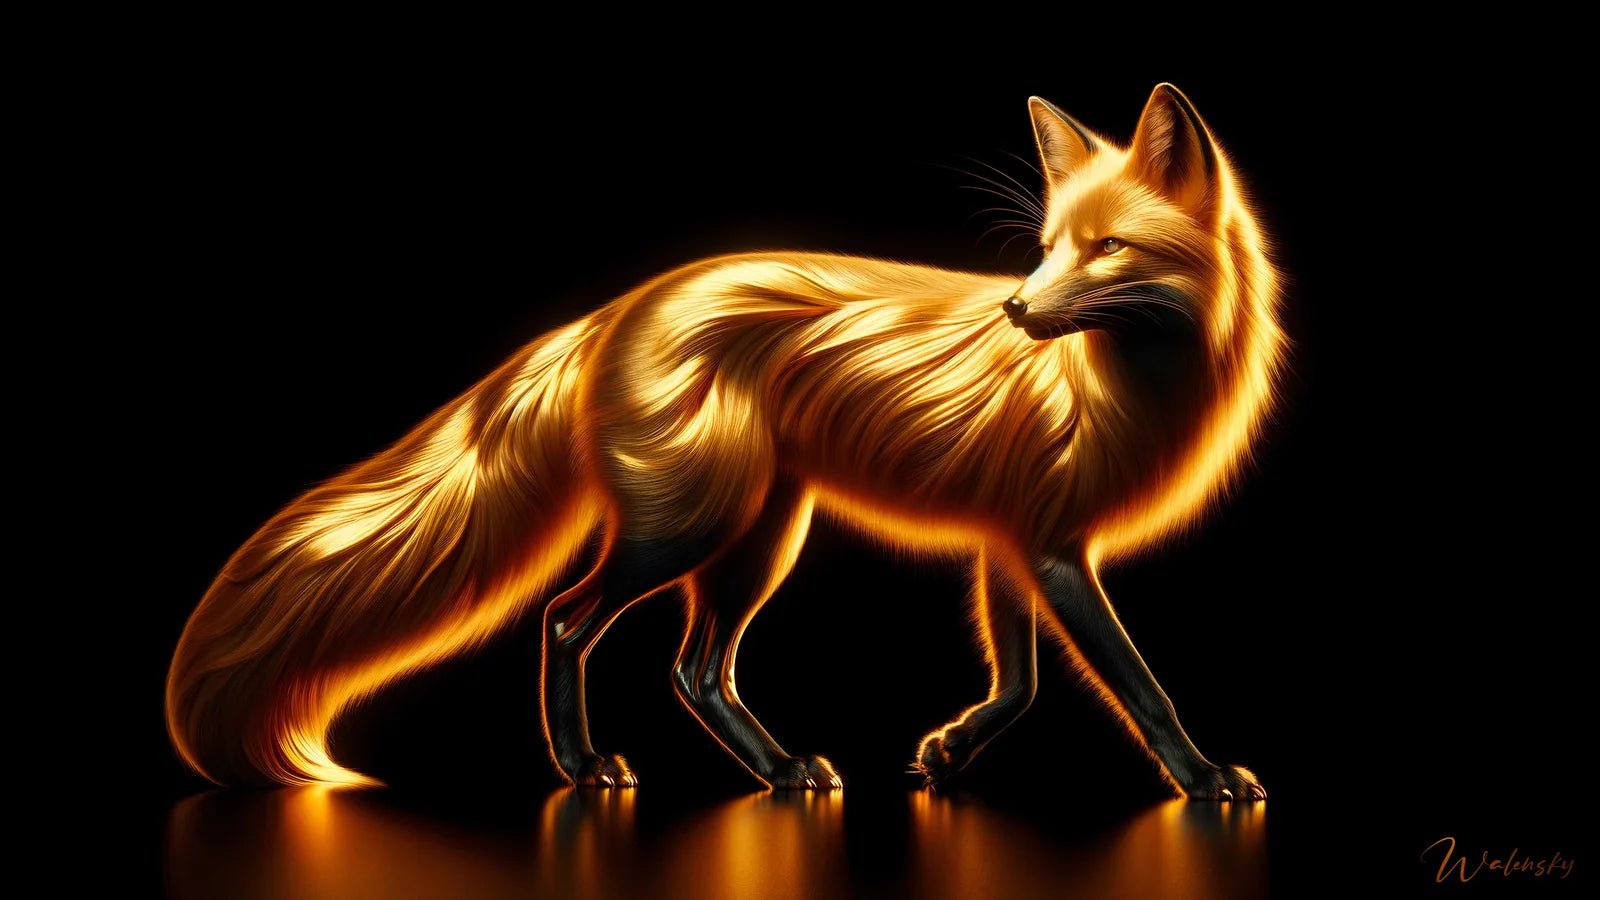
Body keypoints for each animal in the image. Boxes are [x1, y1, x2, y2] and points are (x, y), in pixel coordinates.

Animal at [167, 84, 1284, 799]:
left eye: (1108, 249)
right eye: (1049, 248)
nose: (1015, 309)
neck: (1122, 388)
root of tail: (622, 306)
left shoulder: (1011, 546)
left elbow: (1018, 685)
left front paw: (949, 753)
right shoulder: (1050, 552)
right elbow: (1140, 687)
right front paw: (1203, 779)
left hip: (758, 537)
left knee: (697, 669)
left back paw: (779, 772)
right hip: (692, 529)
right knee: (568, 623)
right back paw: (584, 771)